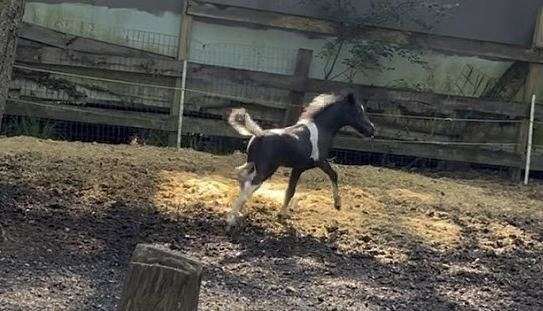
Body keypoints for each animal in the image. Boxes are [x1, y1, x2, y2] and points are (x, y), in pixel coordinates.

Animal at [227, 89, 376, 229]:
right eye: (358, 111)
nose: (372, 130)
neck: (321, 129)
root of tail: (259, 135)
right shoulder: (319, 161)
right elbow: (334, 174)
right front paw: (337, 204)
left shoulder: (297, 168)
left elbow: (290, 190)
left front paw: (282, 214)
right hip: (265, 170)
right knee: (248, 185)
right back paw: (231, 219)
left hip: (252, 164)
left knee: (241, 176)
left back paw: (238, 213)